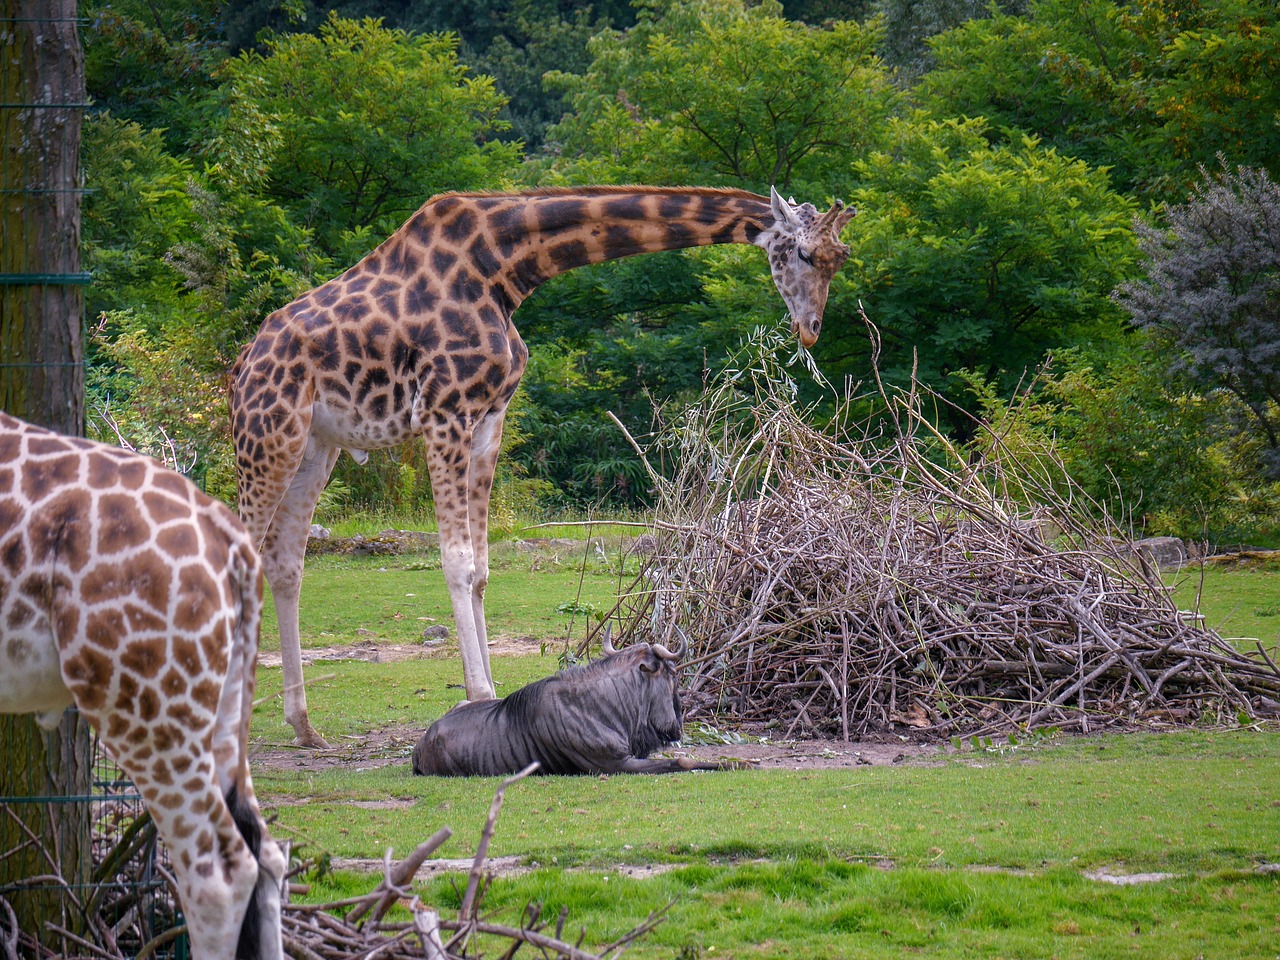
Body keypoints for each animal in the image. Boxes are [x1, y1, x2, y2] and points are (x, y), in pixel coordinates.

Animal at [234, 184, 855, 747]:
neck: (503, 269)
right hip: (268, 434)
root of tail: (241, 365)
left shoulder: (488, 420)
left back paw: (303, 726)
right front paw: (479, 695)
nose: (810, 329)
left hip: (317, 445)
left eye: (839, 257)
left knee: (285, 562)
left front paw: (486, 697)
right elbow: (457, 561)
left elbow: (482, 569)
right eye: (803, 254)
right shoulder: (443, 412)